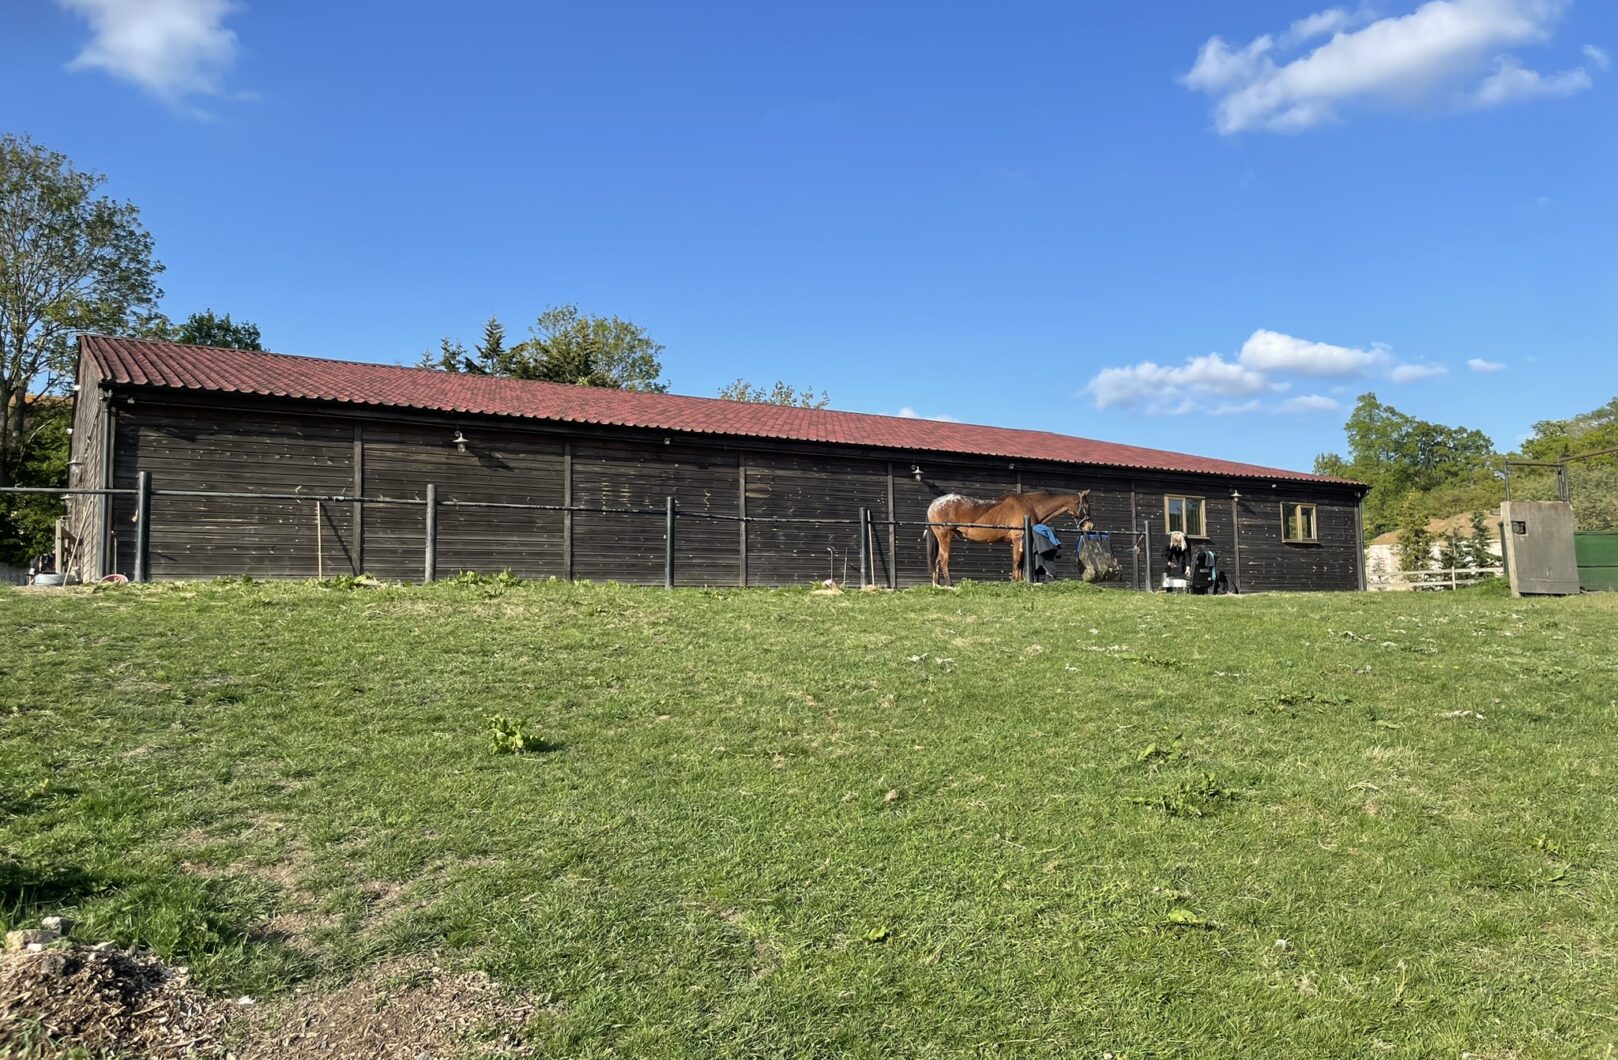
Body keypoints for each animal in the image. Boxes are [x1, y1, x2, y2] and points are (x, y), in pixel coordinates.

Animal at [923, 490, 1093, 587]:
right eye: (1086, 506)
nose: (1089, 526)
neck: (1031, 505)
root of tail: (934, 503)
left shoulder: (1018, 541)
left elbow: (1019, 563)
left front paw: (1019, 582)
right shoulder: (1018, 539)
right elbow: (1017, 562)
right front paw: (1016, 582)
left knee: (937, 561)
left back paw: (937, 585)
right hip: (945, 537)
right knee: (943, 560)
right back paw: (950, 584)